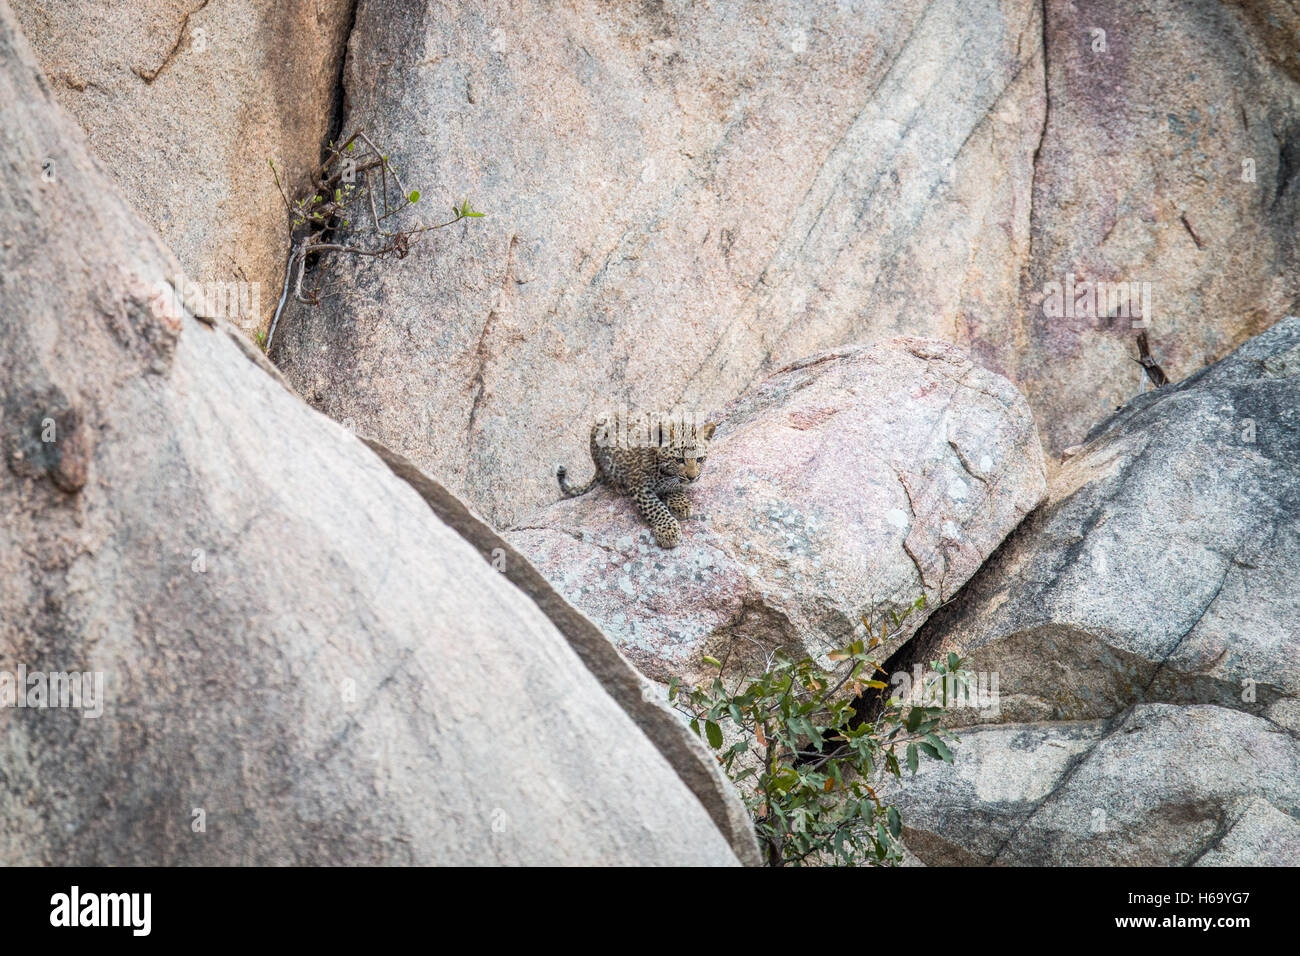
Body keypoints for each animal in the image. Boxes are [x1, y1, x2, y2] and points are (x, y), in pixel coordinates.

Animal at [556, 412, 718, 548]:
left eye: (699, 459)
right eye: (679, 460)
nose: (692, 477)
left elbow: (674, 487)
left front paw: (680, 504)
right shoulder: (640, 487)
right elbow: (657, 509)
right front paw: (668, 531)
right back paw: (619, 485)